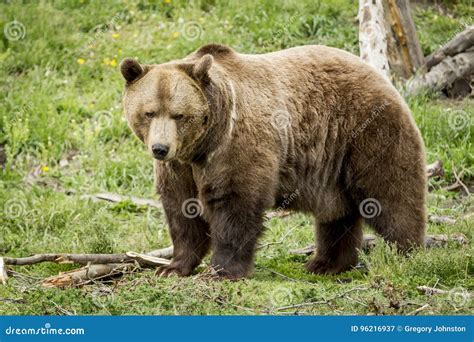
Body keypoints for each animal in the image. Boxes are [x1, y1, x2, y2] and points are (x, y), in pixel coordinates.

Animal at [120, 43, 428, 278]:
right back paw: (325, 264)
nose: (160, 148)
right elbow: (182, 210)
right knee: (337, 214)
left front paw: (223, 270)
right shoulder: (179, 168)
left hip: (367, 132)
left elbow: (236, 203)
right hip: (333, 163)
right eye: (149, 112)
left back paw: (407, 253)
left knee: (391, 194)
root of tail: (381, 77)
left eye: (179, 115)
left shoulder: (236, 147)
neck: (201, 146)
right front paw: (173, 267)